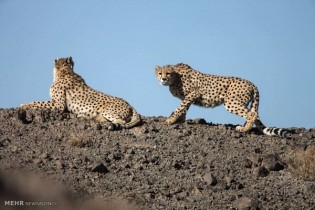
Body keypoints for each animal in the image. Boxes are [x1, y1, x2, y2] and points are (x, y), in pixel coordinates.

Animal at [156, 62, 292, 138]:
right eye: (159, 73)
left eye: (168, 73)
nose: (163, 79)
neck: (175, 77)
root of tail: (252, 83)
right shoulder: (189, 97)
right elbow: (184, 108)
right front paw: (180, 120)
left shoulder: (193, 93)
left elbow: (180, 107)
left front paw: (171, 120)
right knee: (252, 114)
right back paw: (244, 127)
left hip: (231, 102)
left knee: (252, 114)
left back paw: (243, 129)